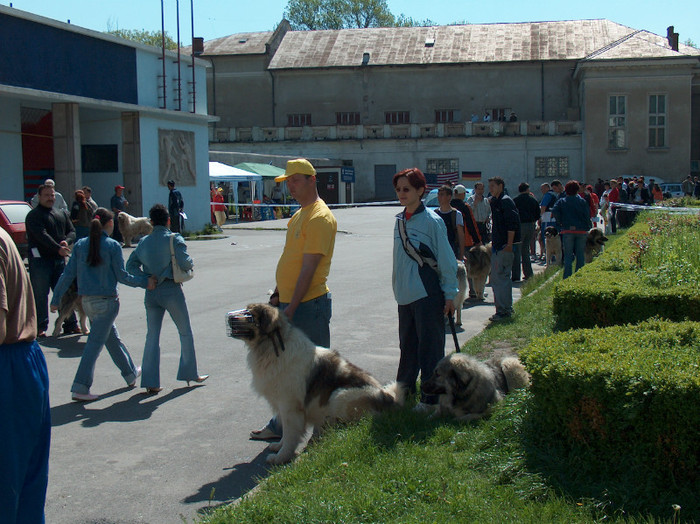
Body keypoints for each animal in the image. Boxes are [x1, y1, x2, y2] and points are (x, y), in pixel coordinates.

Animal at [228, 300, 404, 464]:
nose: (230, 319)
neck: (269, 346)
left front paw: (280, 457)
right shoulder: (282, 406)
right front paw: (278, 447)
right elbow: (285, 432)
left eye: (249, 314)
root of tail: (386, 396)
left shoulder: (289, 406)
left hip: (339, 395)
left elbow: (290, 434)